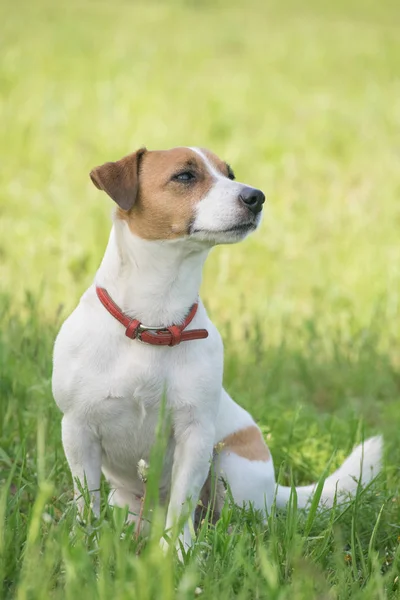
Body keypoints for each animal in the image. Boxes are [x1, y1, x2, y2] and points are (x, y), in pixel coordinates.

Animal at [52, 146, 382, 552]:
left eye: (230, 173)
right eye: (185, 176)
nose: (256, 196)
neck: (154, 322)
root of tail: (276, 490)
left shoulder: (195, 436)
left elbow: (181, 506)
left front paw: (176, 555)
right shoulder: (78, 430)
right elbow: (87, 501)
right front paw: (82, 547)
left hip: (233, 463)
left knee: (239, 519)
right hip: (127, 500)